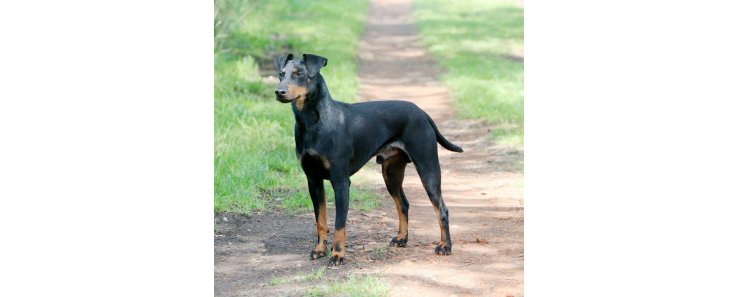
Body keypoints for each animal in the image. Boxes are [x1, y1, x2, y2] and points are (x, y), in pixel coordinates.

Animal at [274, 53, 462, 266]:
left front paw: (337, 255)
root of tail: (422, 112)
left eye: (300, 74)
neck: (313, 123)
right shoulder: (313, 180)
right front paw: (320, 250)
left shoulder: (341, 182)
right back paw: (402, 239)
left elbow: (339, 224)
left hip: (427, 168)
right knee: (403, 204)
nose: (279, 91)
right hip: (391, 173)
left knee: (442, 209)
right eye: (281, 74)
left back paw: (445, 246)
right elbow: (320, 221)